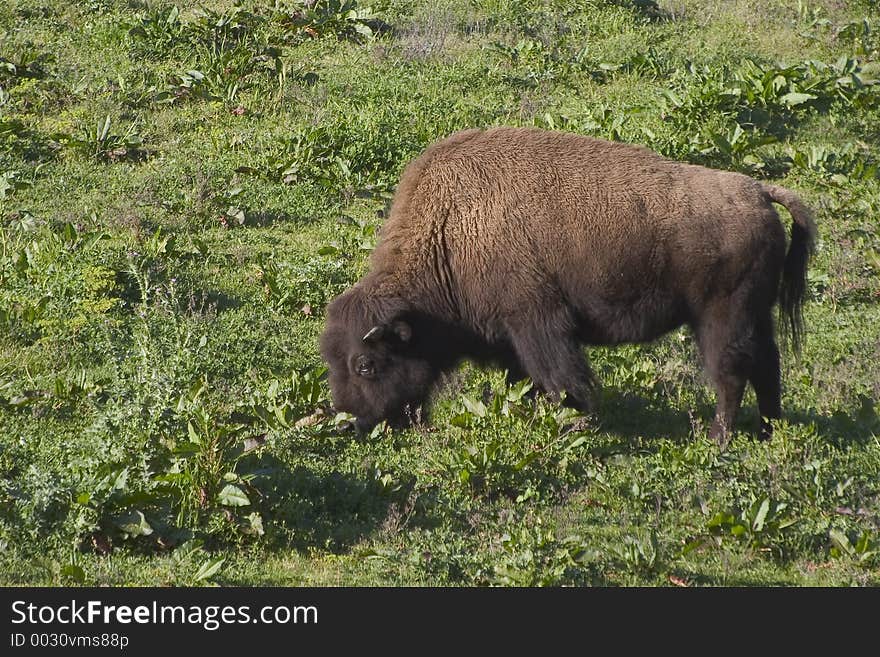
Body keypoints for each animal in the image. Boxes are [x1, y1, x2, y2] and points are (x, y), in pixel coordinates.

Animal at [318, 125, 820, 444]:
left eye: (365, 364)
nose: (348, 422)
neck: (450, 232)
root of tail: (759, 192)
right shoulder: (512, 341)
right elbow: (526, 380)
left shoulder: (538, 324)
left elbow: (562, 379)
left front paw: (574, 422)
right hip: (756, 315)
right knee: (768, 366)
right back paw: (769, 431)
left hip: (721, 317)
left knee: (730, 373)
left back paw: (719, 439)